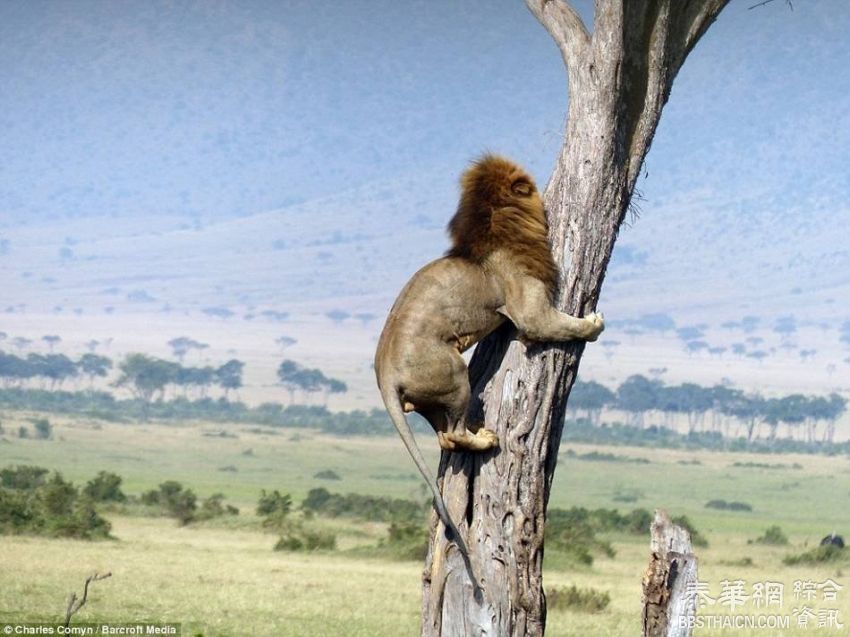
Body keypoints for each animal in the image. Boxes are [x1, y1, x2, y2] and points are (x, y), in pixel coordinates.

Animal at [372, 153, 604, 552]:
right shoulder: (530, 311)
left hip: (433, 397)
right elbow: (561, 325)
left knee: (444, 435)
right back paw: (487, 438)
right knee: (453, 434)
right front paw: (593, 322)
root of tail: (384, 372)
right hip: (454, 375)